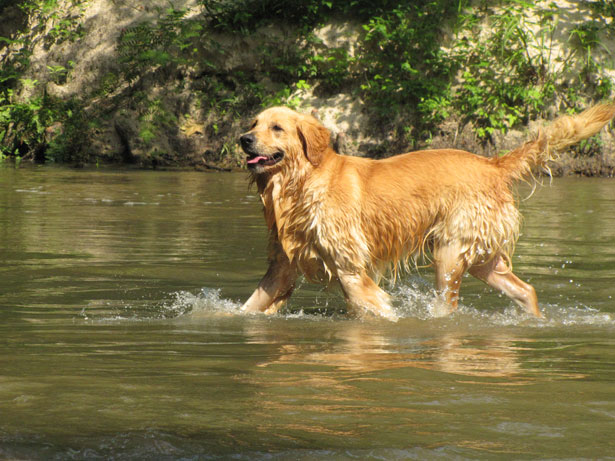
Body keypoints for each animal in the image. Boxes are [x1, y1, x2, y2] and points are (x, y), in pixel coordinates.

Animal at [239, 104, 615, 320]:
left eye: (276, 127)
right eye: (254, 123)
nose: (243, 139)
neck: (300, 184)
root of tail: (492, 164)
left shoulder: (350, 270)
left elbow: (376, 309)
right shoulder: (282, 267)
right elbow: (247, 307)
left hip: (450, 251)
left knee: (448, 307)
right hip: (482, 257)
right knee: (526, 290)